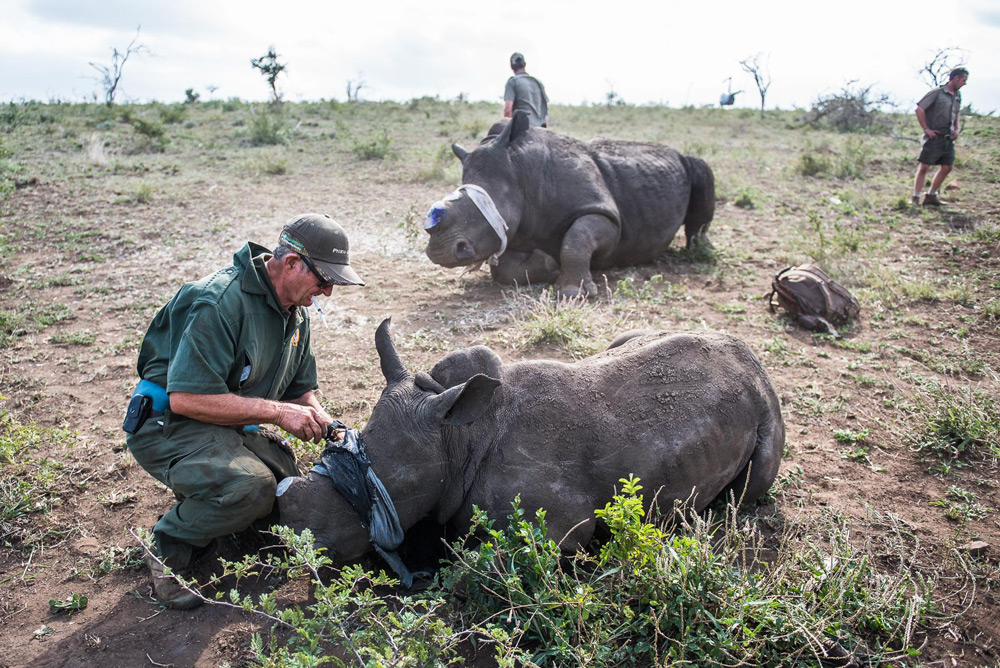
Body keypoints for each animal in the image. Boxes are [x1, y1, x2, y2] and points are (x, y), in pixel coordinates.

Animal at [278, 320, 784, 568]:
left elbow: (477, 554)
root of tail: (751, 359)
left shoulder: (560, 529)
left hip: (766, 412)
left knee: (753, 486)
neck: (458, 436)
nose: (297, 544)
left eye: (396, 486)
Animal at [422, 112, 720, 298]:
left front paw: (573, 293)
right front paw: (548, 265)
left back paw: (700, 251)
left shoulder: (603, 212)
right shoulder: (513, 231)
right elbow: (502, 270)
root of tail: (675, 151)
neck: (521, 171)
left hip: (688, 162)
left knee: (701, 170)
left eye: (484, 202)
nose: (440, 251)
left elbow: (577, 238)